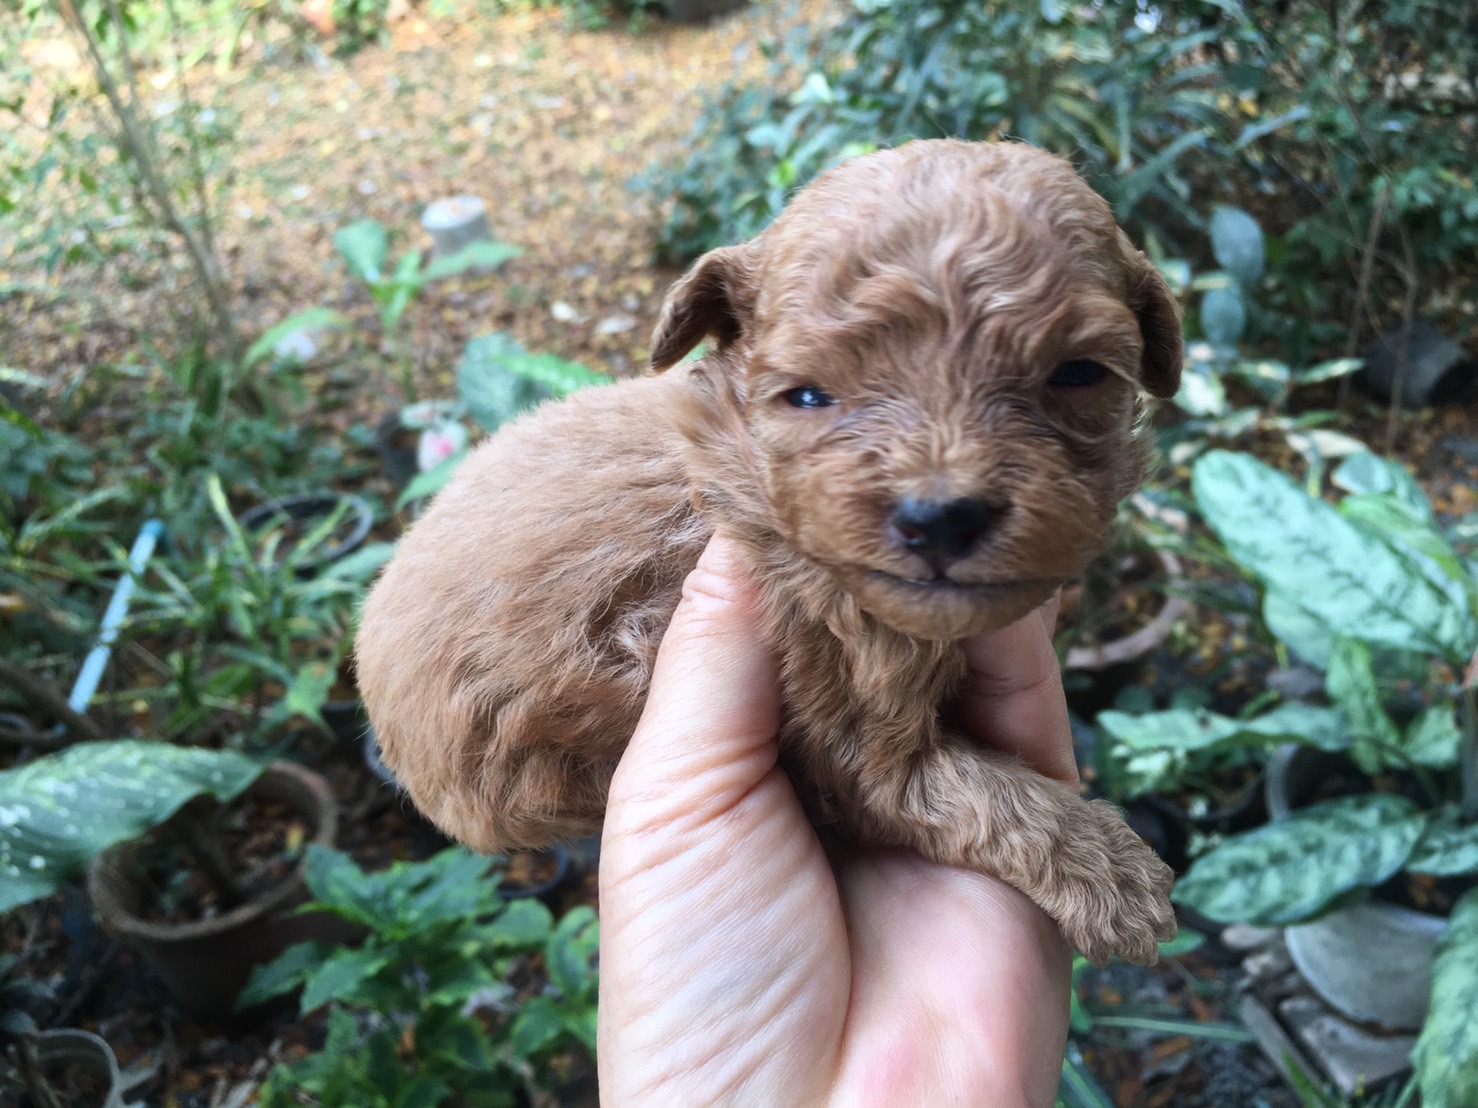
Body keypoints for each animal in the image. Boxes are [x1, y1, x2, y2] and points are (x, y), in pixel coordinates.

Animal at [357, 139, 1181, 965]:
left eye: (1079, 375)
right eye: (809, 396)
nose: (940, 518)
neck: (741, 469)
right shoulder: (850, 718)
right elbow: (985, 800)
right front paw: (1116, 879)